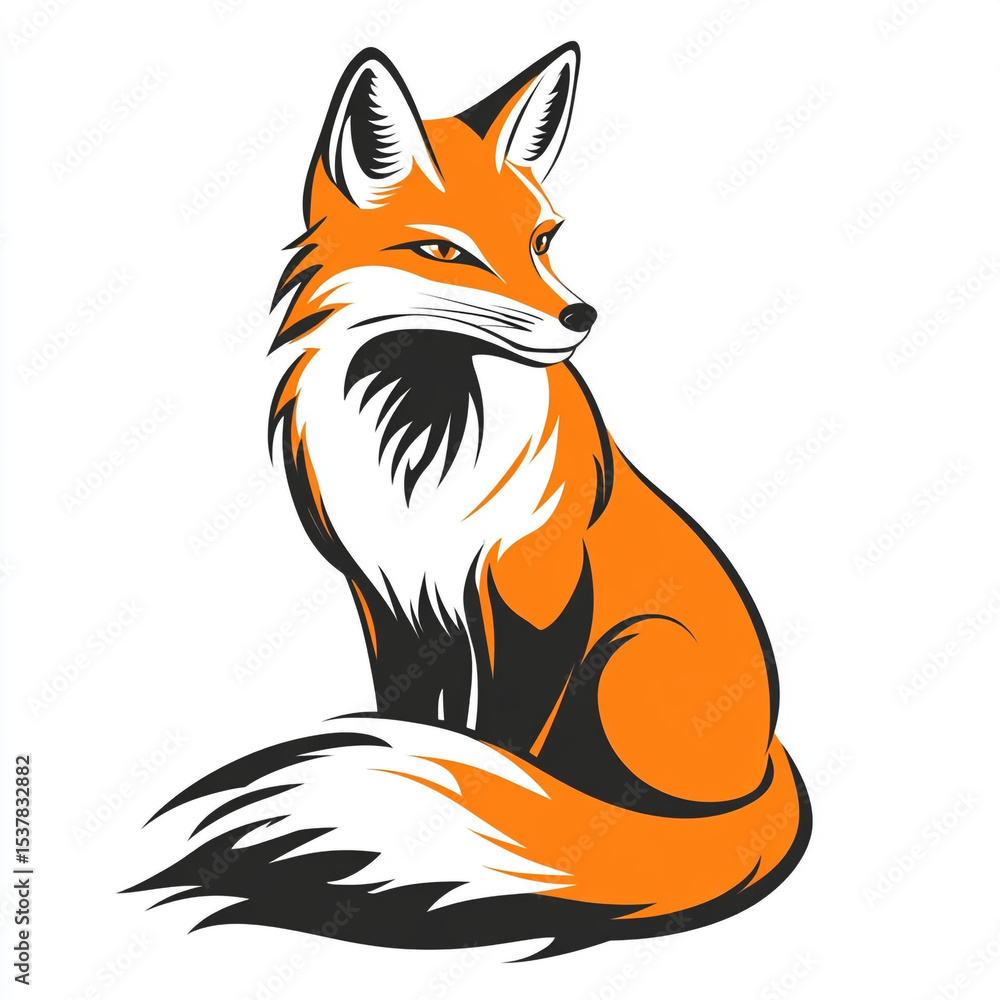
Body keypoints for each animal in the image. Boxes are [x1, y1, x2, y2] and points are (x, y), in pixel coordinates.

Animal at [129, 42, 811, 958]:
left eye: (542, 238)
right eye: (444, 252)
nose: (581, 315)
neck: (424, 439)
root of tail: (770, 754)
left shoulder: (535, 594)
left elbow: (510, 751)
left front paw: (518, 818)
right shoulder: (387, 598)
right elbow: (417, 719)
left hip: (625, 662)